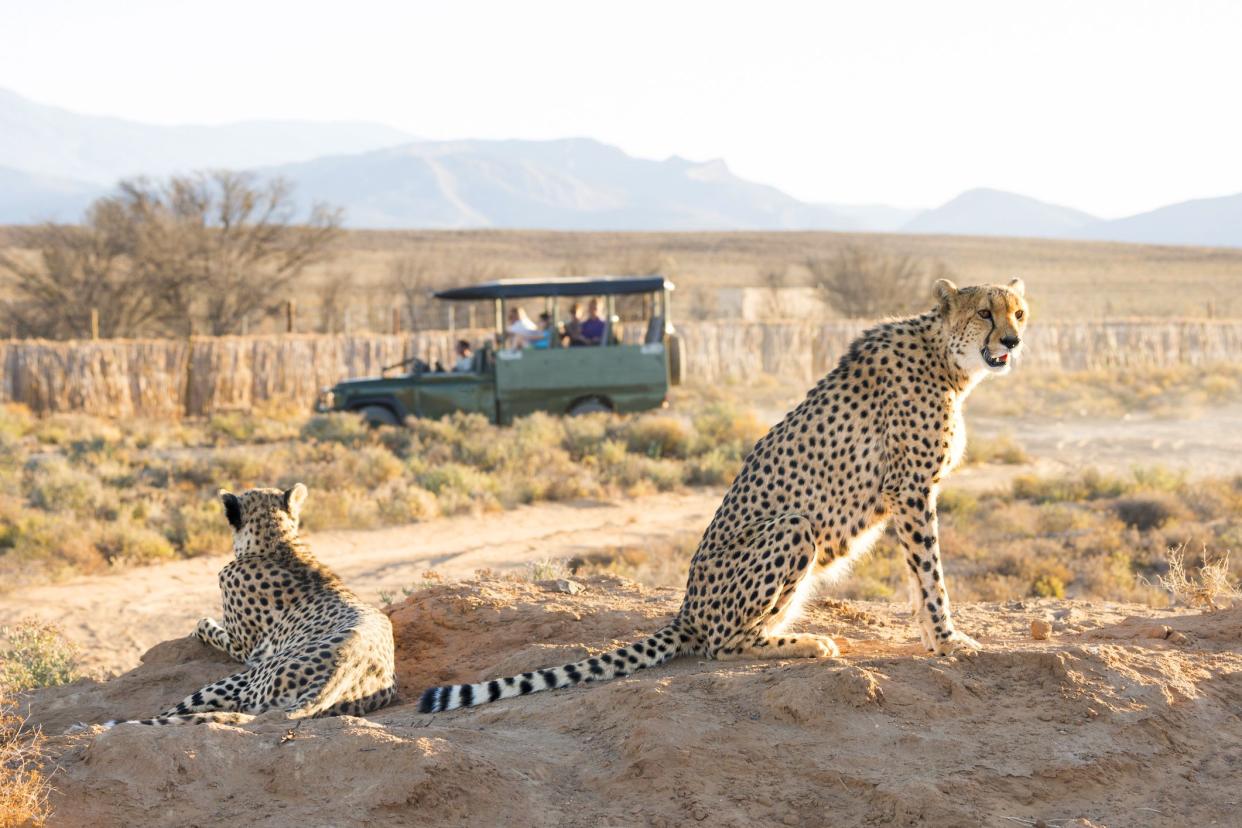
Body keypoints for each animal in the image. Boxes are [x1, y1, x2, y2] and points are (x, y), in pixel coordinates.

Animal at [111, 486, 394, 724]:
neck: (277, 541)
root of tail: (330, 685)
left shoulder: (243, 649)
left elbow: (205, 624)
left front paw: (198, 627)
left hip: (237, 680)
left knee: (172, 714)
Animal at [422, 278, 1033, 715]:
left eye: (1019, 313)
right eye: (985, 313)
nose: (1012, 341)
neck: (947, 360)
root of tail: (686, 606)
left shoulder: (909, 493)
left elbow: (918, 577)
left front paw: (937, 639)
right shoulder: (910, 489)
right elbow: (930, 576)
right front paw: (949, 640)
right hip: (793, 526)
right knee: (722, 644)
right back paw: (807, 644)